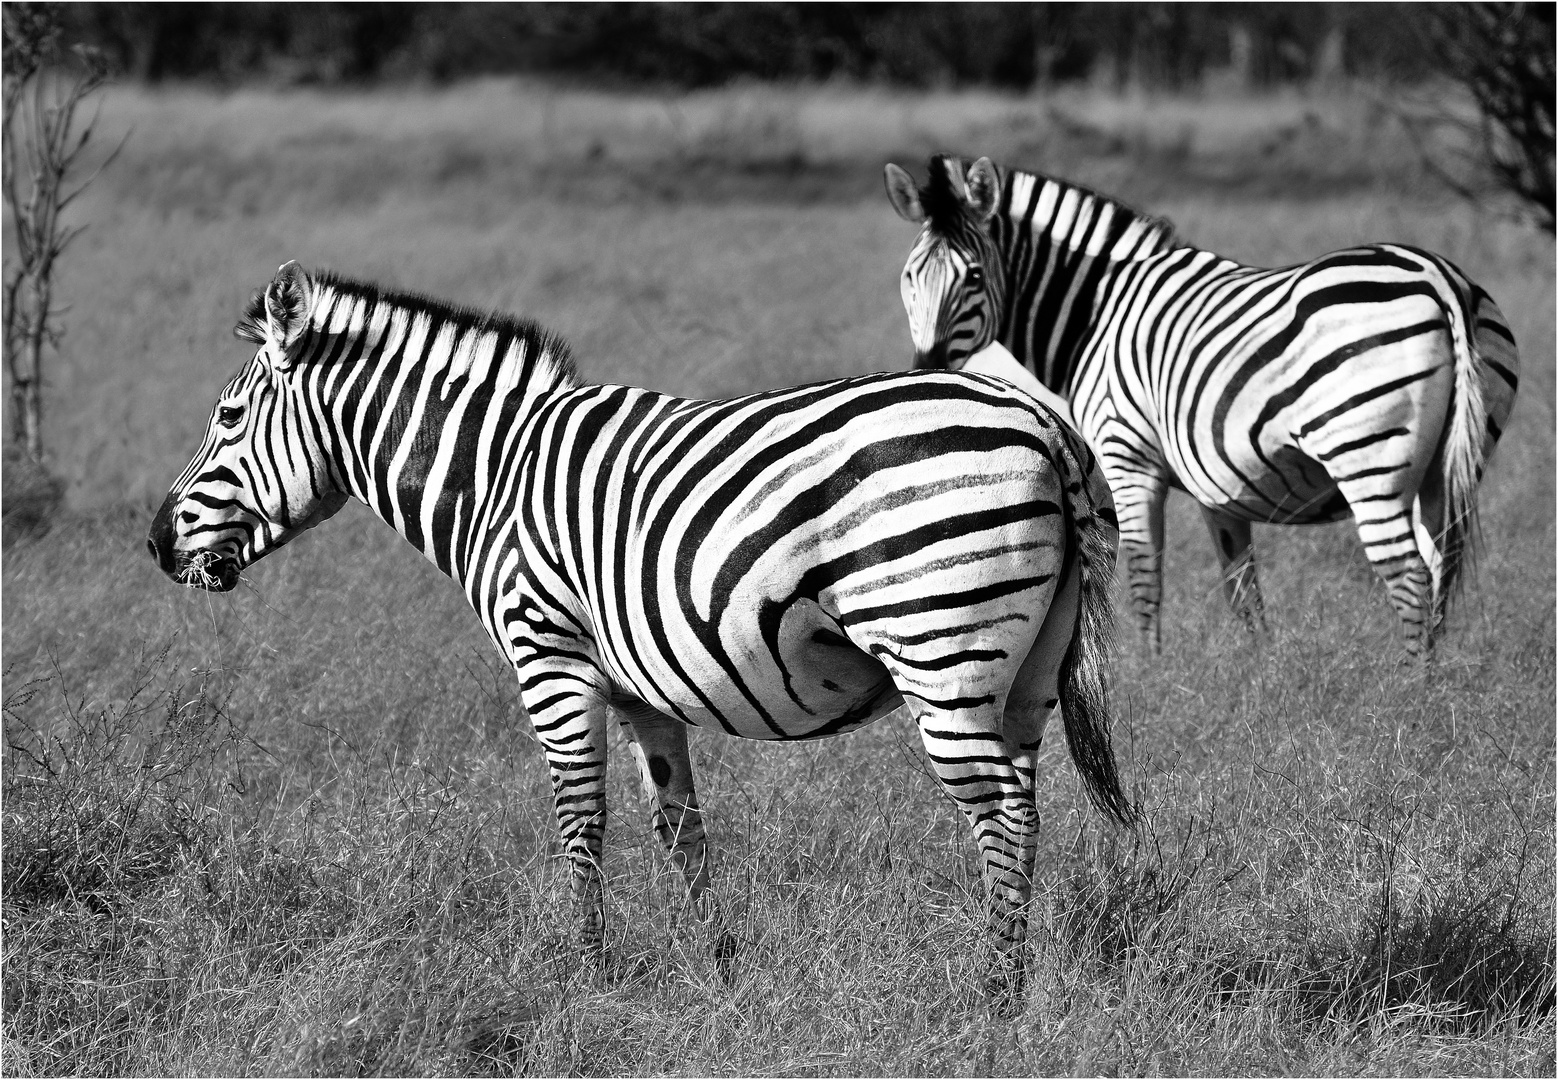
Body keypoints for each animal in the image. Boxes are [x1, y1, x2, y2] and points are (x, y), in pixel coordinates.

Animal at [146, 261, 1136, 1000]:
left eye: (227, 418)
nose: (154, 545)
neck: (495, 476)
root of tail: (1040, 419)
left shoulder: (550, 657)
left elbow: (579, 820)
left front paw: (591, 976)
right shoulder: (641, 690)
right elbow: (680, 828)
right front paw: (719, 973)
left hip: (939, 644)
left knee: (999, 812)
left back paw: (994, 995)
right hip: (1028, 670)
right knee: (1027, 808)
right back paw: (1014, 980)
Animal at [884, 155, 1520, 656]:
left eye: (972, 276)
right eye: (909, 277)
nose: (928, 368)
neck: (1098, 311)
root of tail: (1436, 275)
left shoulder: (1127, 455)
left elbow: (1144, 578)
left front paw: (1151, 672)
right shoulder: (1222, 487)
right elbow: (1243, 591)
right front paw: (1261, 673)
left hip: (1367, 455)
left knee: (1410, 575)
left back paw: (1414, 692)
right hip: (1450, 464)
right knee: (1441, 568)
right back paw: (1437, 684)